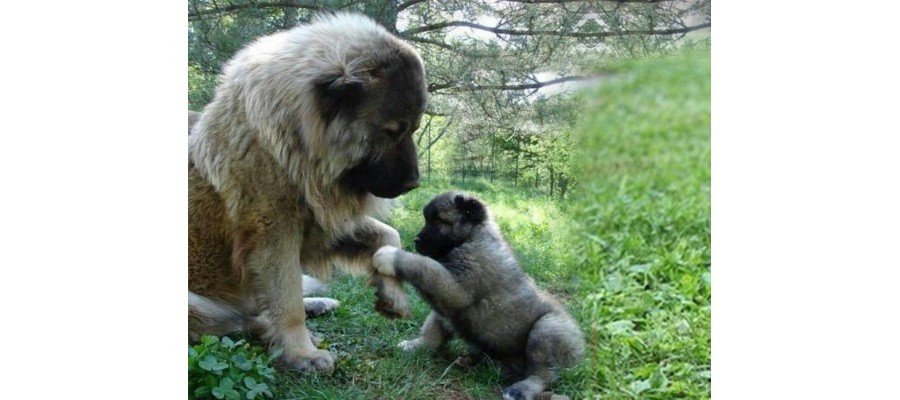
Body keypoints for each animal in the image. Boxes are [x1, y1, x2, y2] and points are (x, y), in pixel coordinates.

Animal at [188, 14, 428, 374]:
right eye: (391, 131)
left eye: (413, 128)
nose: (414, 183)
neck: (294, 144)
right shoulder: (275, 235)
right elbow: (286, 301)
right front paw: (301, 353)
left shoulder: (323, 220)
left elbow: (389, 235)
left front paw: (392, 292)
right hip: (195, 305)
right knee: (242, 321)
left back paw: (318, 303)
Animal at [370, 191, 584, 400]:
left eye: (438, 221)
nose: (416, 241)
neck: (472, 236)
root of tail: (582, 352)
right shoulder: (445, 305)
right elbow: (432, 331)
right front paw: (416, 346)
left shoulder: (456, 288)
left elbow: (424, 265)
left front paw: (391, 256)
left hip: (547, 328)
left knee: (544, 374)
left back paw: (520, 389)